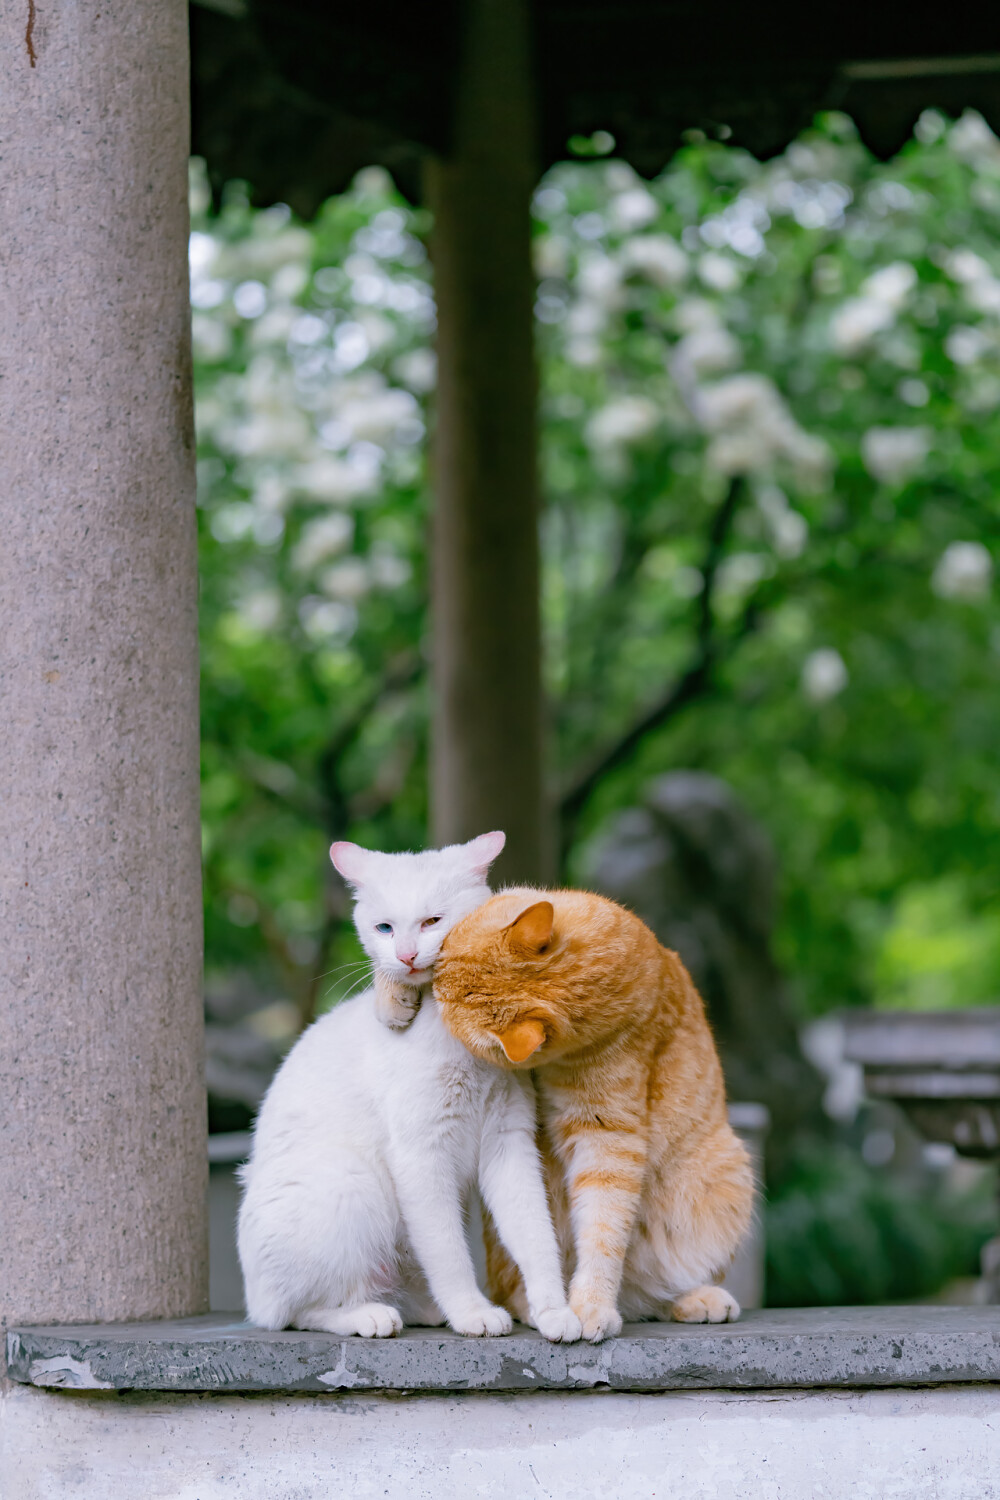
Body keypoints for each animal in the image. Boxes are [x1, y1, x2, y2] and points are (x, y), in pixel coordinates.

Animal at [236, 834, 578, 1350]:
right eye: (384, 928)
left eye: (432, 922)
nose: (406, 956)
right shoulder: (421, 1154)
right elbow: (449, 1252)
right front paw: (472, 1312)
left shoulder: (508, 1144)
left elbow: (535, 1236)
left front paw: (553, 1310)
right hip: (350, 1185)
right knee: (297, 1312)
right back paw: (370, 1315)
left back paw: (422, 1308)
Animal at [434, 882, 755, 1344]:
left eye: (449, 995)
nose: (434, 978)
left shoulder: (608, 1134)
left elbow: (604, 1229)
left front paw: (590, 1306)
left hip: (726, 1171)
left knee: (648, 1295)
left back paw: (693, 1299)